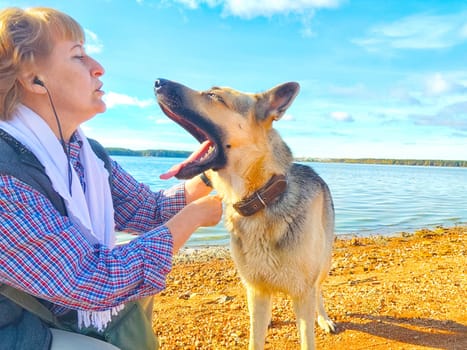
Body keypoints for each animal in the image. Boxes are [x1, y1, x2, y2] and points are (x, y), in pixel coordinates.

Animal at [156, 78, 336, 348]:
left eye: (215, 96)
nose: (158, 82)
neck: (262, 198)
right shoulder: (256, 289)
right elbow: (255, 338)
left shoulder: (302, 294)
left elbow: (307, 335)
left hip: (322, 266)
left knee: (319, 291)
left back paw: (323, 318)